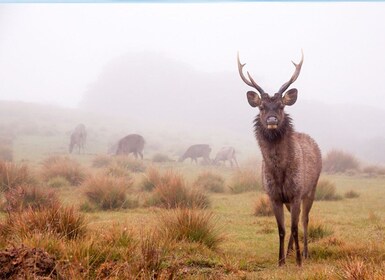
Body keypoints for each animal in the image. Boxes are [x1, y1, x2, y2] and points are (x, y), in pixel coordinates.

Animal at [237, 50, 320, 266]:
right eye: (261, 107)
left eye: (282, 106)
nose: (272, 120)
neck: (279, 173)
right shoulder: (273, 196)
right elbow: (282, 229)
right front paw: (281, 260)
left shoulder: (297, 192)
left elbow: (294, 227)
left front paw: (298, 262)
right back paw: (290, 251)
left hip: (311, 189)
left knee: (305, 220)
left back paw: (305, 253)